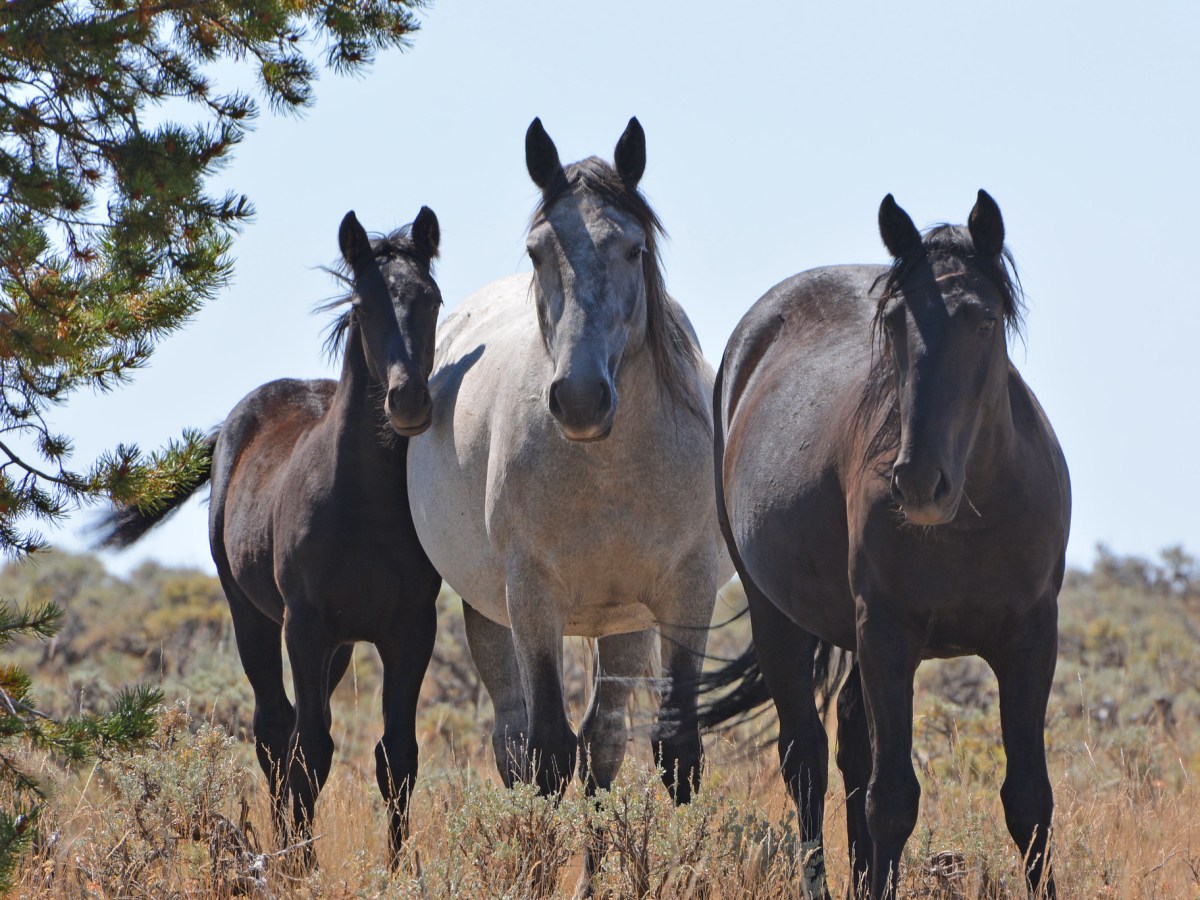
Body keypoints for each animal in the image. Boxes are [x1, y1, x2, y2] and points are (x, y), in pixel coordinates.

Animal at [98, 208, 444, 866]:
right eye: (361, 305)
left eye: (432, 299)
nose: (408, 399)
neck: (362, 507)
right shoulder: (304, 625)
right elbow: (311, 751)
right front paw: (301, 866)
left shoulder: (411, 628)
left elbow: (397, 757)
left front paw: (395, 871)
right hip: (255, 617)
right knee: (275, 732)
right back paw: (282, 848)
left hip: (337, 645)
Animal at [405, 117, 732, 889]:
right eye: (538, 250)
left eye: (633, 248)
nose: (580, 399)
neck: (611, 466)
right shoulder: (532, 597)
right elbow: (548, 755)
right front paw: (533, 870)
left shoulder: (687, 592)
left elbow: (675, 756)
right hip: (488, 612)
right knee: (516, 742)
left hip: (625, 624)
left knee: (603, 742)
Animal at [701, 192, 1070, 899]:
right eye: (895, 323)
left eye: (983, 320)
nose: (921, 481)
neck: (973, 518)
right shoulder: (889, 633)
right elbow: (893, 798)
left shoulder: (1031, 637)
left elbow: (1030, 802)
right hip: (780, 616)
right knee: (807, 759)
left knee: (848, 743)